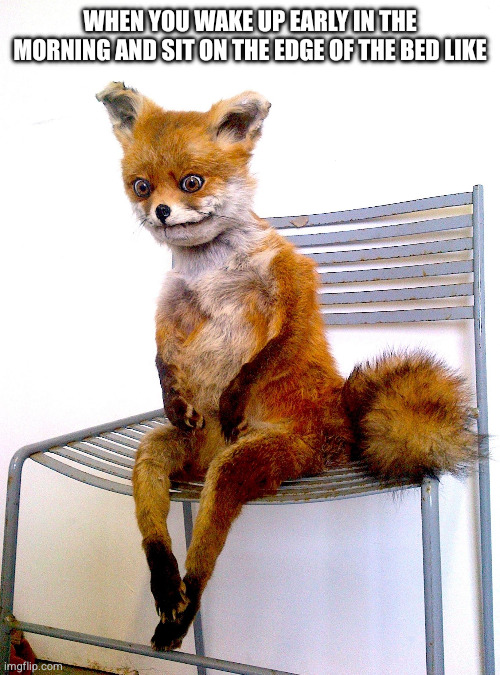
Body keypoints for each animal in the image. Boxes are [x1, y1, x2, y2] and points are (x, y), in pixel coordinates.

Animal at [97, 82, 476, 652]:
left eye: (191, 182)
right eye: (141, 187)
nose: (161, 211)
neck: (210, 272)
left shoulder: (290, 286)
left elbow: (268, 353)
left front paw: (233, 392)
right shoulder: (171, 310)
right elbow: (162, 356)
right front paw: (171, 392)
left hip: (247, 462)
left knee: (207, 545)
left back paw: (187, 599)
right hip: (160, 452)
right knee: (153, 520)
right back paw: (166, 587)